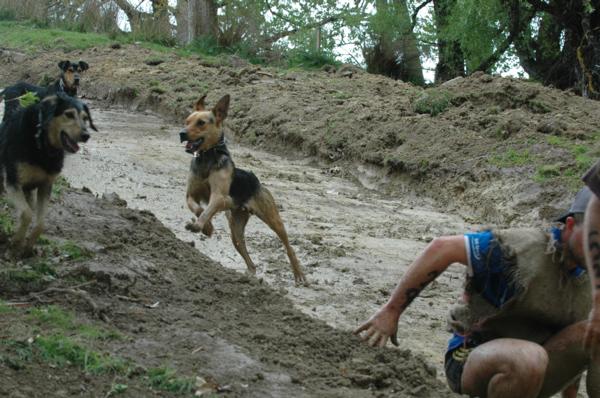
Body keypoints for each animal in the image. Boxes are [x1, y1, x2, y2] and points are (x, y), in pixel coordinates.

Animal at [0, 92, 96, 256]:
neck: (42, 142)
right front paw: (16, 243)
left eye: (85, 118)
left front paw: (27, 247)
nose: (86, 135)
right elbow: (26, 214)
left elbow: (41, 223)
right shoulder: (13, 182)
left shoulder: (45, 185)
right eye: (68, 114)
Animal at [179, 95, 308, 284]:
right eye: (187, 121)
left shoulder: (219, 197)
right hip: (236, 231)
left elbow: (207, 210)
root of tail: (257, 181)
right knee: (248, 257)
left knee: (288, 246)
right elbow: (198, 209)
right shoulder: (191, 195)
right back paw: (249, 275)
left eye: (201, 123)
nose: (181, 133)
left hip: (274, 219)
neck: (207, 157)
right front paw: (207, 228)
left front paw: (199, 225)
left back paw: (298, 273)